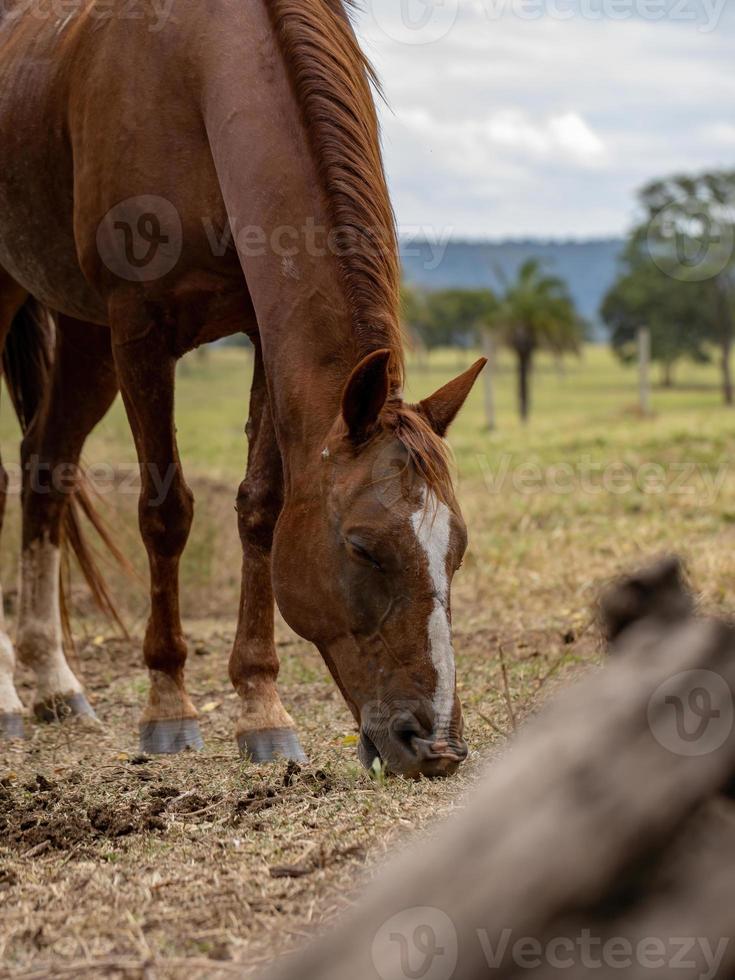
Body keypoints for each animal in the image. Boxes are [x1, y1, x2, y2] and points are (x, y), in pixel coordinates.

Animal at [0, 1, 486, 780]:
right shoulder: (139, 328)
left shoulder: (260, 328)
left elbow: (260, 509)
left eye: (457, 551)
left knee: (46, 466)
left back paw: (52, 685)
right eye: (363, 548)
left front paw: (262, 710)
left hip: (82, 334)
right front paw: (168, 706)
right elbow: (165, 511)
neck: (194, 75)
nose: (435, 746)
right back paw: (11, 698)